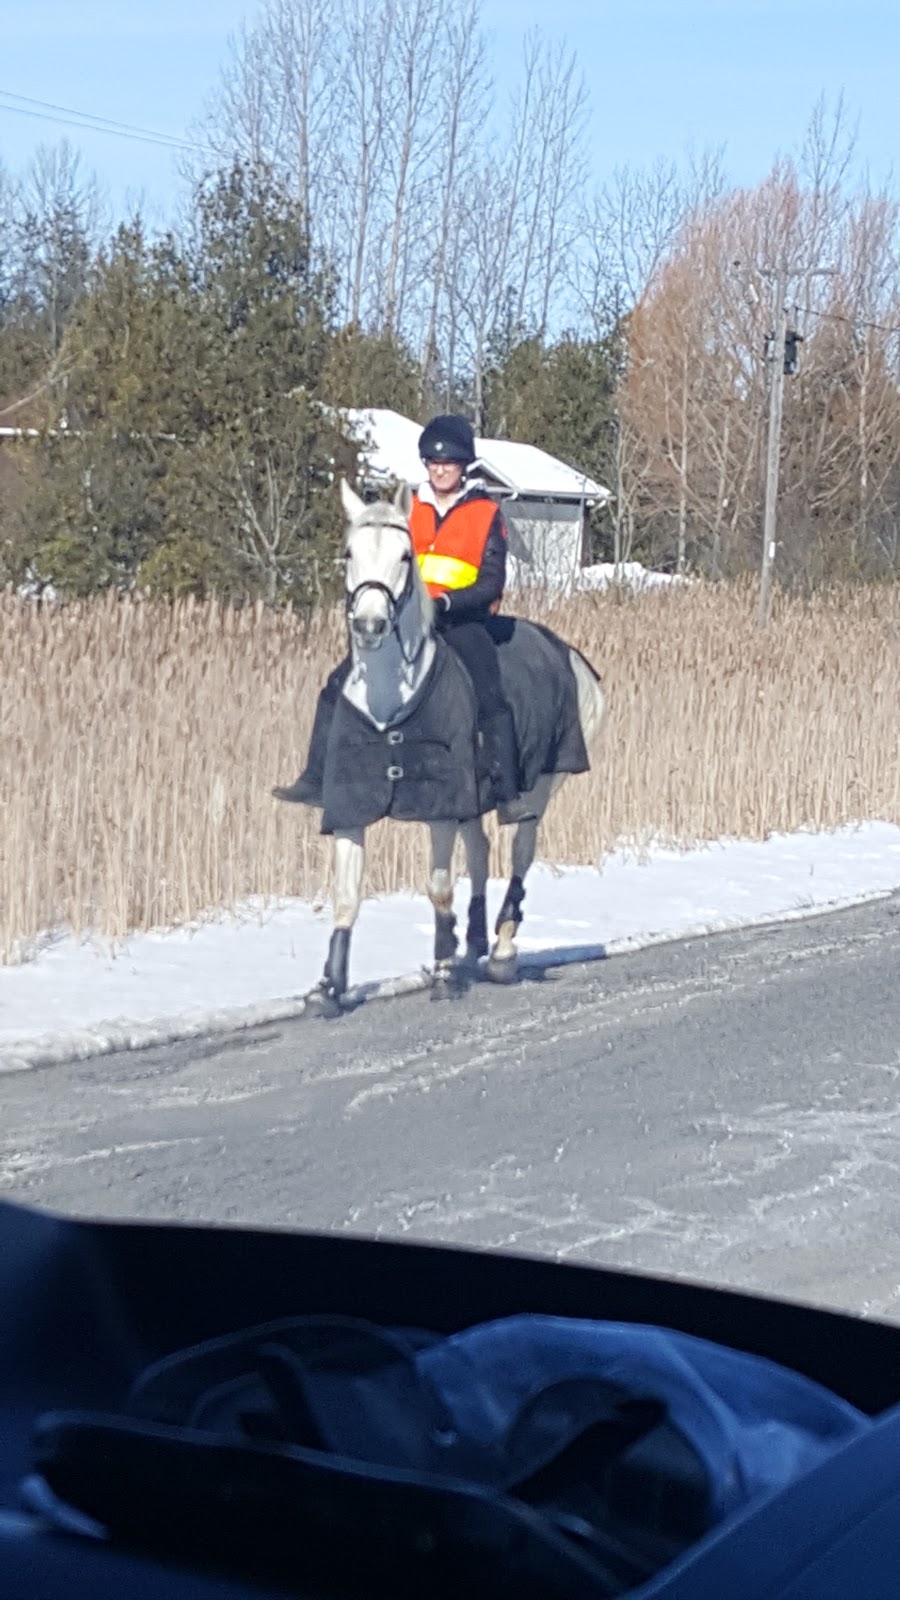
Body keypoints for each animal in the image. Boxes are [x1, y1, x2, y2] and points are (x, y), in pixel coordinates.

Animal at [286, 480, 602, 1017]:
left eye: (403, 555)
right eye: (349, 552)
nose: (370, 625)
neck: (389, 701)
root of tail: (565, 651)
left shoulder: (439, 808)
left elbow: (437, 888)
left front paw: (441, 972)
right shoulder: (350, 805)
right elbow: (347, 894)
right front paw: (328, 987)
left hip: (537, 790)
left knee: (519, 855)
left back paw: (501, 951)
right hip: (474, 800)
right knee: (481, 852)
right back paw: (470, 945)